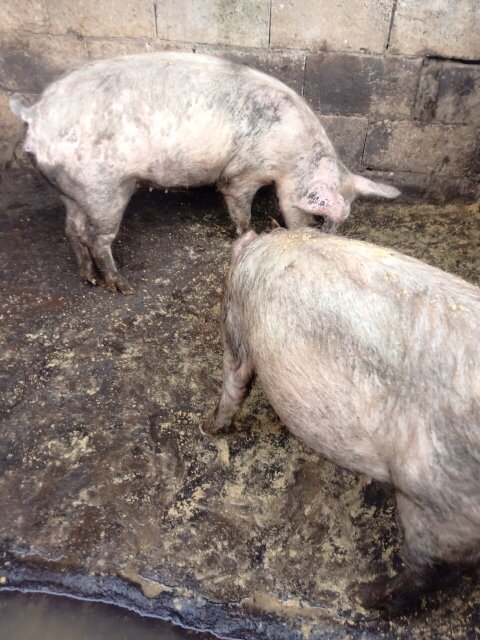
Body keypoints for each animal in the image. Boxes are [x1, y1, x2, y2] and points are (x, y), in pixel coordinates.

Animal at [8, 52, 400, 294]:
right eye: (318, 218)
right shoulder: (243, 173)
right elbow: (238, 205)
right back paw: (121, 286)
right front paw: (248, 230)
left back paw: (88, 279)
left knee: (72, 230)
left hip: (71, 189)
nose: (321, 237)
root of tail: (35, 112)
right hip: (103, 189)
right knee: (95, 237)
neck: (291, 156)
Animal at [203, 227, 480, 615]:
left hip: (432, 503)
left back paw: (362, 596)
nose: (204, 426)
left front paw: (207, 427)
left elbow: (235, 379)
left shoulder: (236, 319)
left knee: (427, 573)